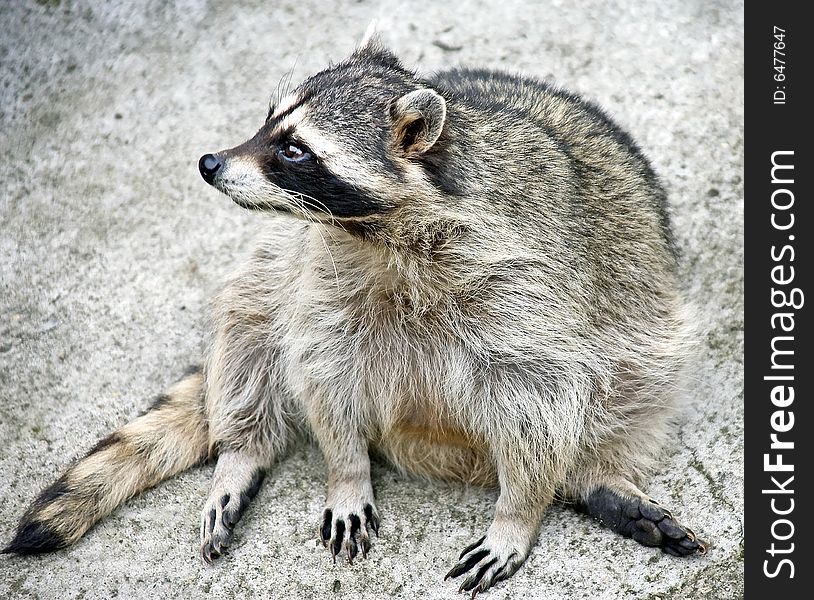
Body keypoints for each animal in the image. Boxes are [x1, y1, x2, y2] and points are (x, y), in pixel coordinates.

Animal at [3, 37, 708, 596]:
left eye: (295, 149)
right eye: (269, 121)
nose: (209, 163)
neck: (383, 231)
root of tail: (435, 453)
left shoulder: (526, 286)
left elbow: (542, 397)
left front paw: (519, 511)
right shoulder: (319, 267)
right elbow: (322, 363)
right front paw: (344, 471)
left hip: (644, 333)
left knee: (629, 388)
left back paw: (593, 477)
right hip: (274, 266)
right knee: (248, 327)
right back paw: (242, 448)